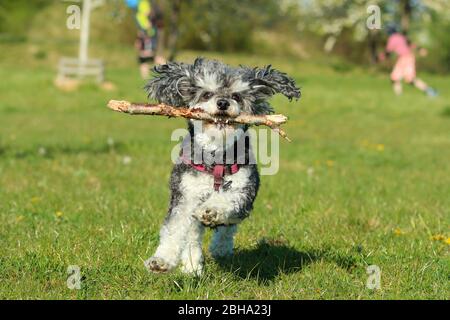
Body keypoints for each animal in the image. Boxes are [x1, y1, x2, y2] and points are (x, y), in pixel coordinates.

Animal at [142, 57, 300, 276]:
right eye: (207, 94)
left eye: (236, 96)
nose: (223, 103)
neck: (216, 156)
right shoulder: (185, 195)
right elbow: (175, 228)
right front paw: (161, 261)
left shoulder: (244, 190)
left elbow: (227, 201)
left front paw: (212, 210)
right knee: (192, 235)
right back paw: (192, 266)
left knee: (227, 228)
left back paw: (220, 248)